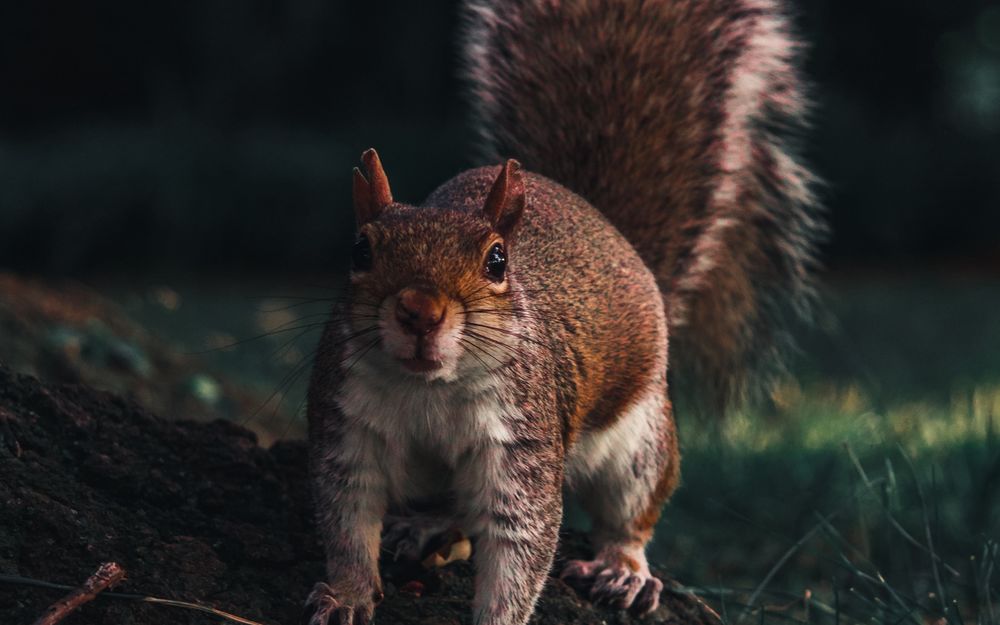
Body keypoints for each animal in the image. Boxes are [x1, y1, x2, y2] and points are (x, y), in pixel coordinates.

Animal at [304, 0, 820, 624]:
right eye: (360, 250)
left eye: (497, 260)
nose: (420, 310)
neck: (428, 388)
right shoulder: (345, 423)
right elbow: (347, 520)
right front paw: (348, 595)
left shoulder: (524, 440)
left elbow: (520, 541)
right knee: (455, 510)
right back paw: (427, 526)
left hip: (641, 440)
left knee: (630, 512)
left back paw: (622, 570)